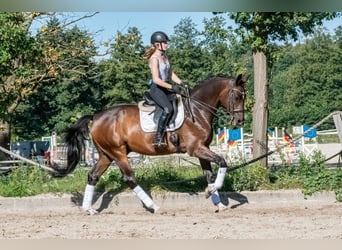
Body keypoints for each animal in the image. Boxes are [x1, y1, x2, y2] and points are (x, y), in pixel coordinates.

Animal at [50, 73, 246, 213]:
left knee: (93, 176)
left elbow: (209, 175)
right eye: (237, 97)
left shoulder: (202, 149)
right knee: (129, 178)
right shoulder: (196, 149)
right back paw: (154, 206)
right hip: (118, 153)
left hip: (106, 154)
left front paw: (217, 201)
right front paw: (212, 192)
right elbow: (222, 162)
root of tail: (96, 116)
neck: (197, 110)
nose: (240, 121)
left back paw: (88, 209)